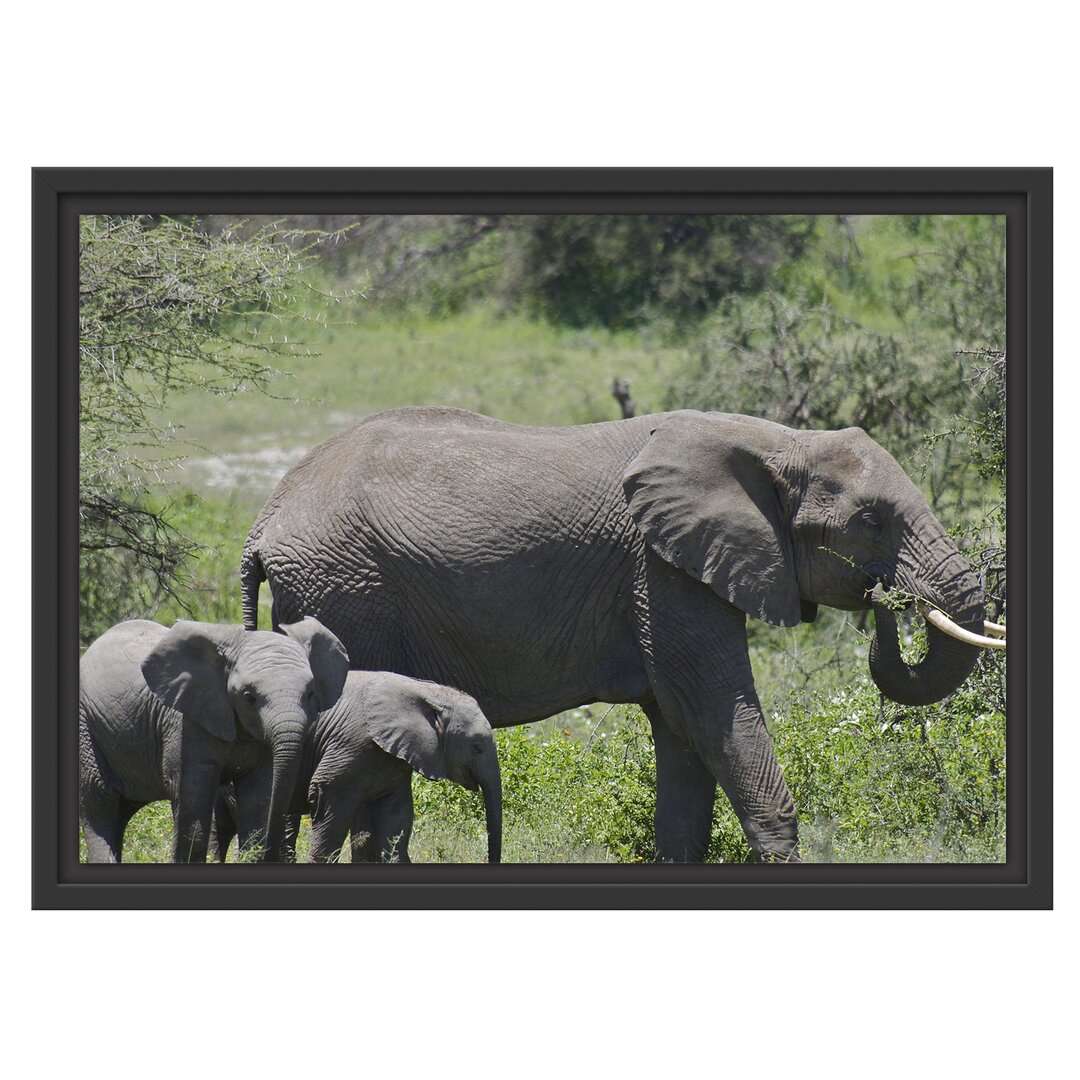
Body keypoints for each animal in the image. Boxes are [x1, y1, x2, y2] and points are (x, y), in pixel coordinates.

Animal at [80, 617, 349, 859]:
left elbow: (258, 797)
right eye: (249, 698)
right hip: (87, 727)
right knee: (100, 803)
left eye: (311, 693)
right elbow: (193, 797)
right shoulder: (185, 723)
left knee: (122, 809)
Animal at [212, 669, 503, 864]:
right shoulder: (352, 746)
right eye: (477, 746)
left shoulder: (393, 760)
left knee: (225, 824)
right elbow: (330, 810)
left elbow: (395, 820)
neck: (423, 690)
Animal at [240, 406, 997, 859]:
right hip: (345, 590)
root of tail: (265, 516)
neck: (774, 439)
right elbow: (714, 708)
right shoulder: (661, 570)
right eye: (870, 520)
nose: (884, 600)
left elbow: (685, 735)